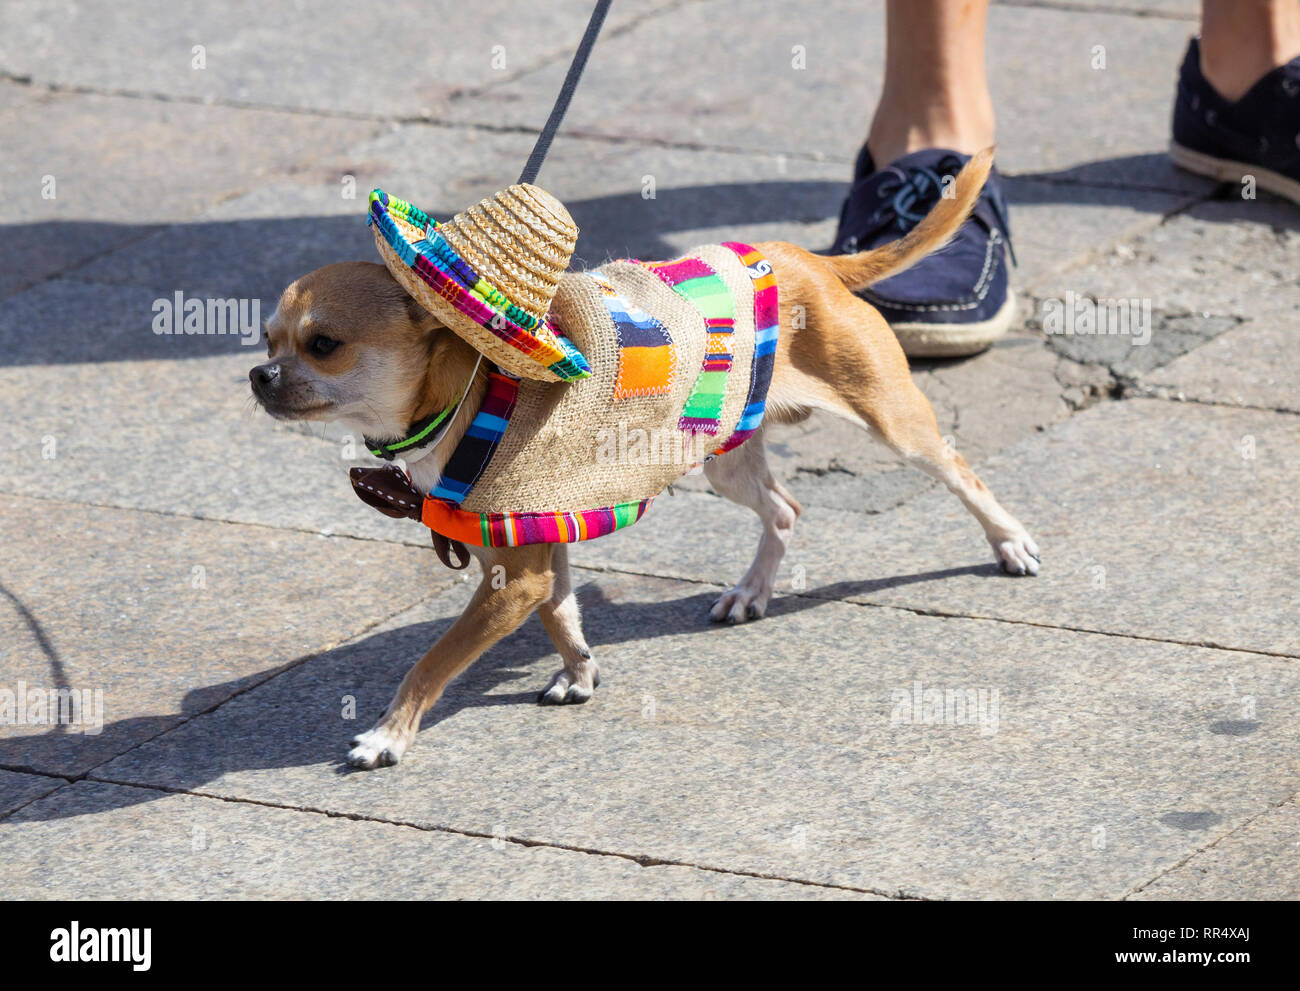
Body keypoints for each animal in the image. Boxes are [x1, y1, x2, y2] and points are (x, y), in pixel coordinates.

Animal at [248, 148, 1034, 764]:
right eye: (267, 339)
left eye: (324, 344)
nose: (257, 375)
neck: (469, 390)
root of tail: (802, 258)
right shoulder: (540, 545)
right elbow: (563, 614)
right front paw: (578, 672)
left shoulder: (512, 577)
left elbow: (433, 659)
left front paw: (388, 735)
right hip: (725, 456)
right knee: (784, 509)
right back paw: (752, 591)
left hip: (895, 423)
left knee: (962, 473)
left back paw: (1010, 542)